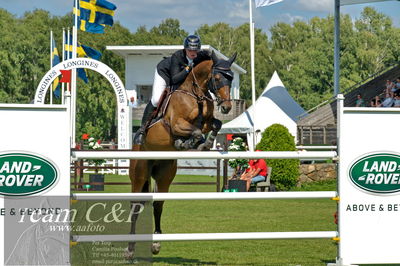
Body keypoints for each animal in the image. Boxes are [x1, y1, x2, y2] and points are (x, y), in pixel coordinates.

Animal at [126, 51, 238, 258]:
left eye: (231, 78)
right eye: (218, 78)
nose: (227, 107)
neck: (196, 94)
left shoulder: (207, 121)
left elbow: (214, 125)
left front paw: (204, 144)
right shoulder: (177, 124)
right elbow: (195, 132)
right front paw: (188, 143)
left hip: (165, 174)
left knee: (158, 204)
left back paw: (156, 244)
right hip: (139, 173)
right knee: (135, 206)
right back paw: (129, 249)